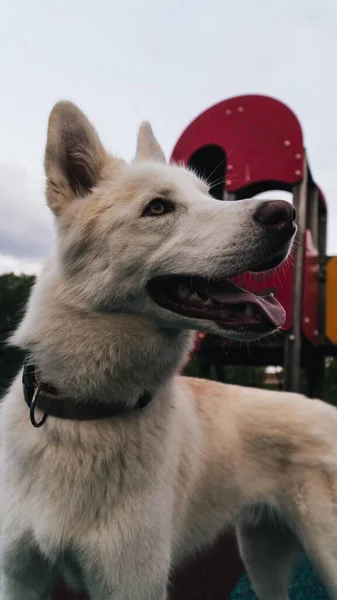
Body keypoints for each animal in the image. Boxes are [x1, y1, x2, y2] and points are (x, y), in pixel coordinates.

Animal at [0, 103, 336, 600]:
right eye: (158, 207)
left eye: (209, 197)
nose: (287, 213)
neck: (86, 412)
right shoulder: (20, 576)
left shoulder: (132, 582)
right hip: (261, 558)